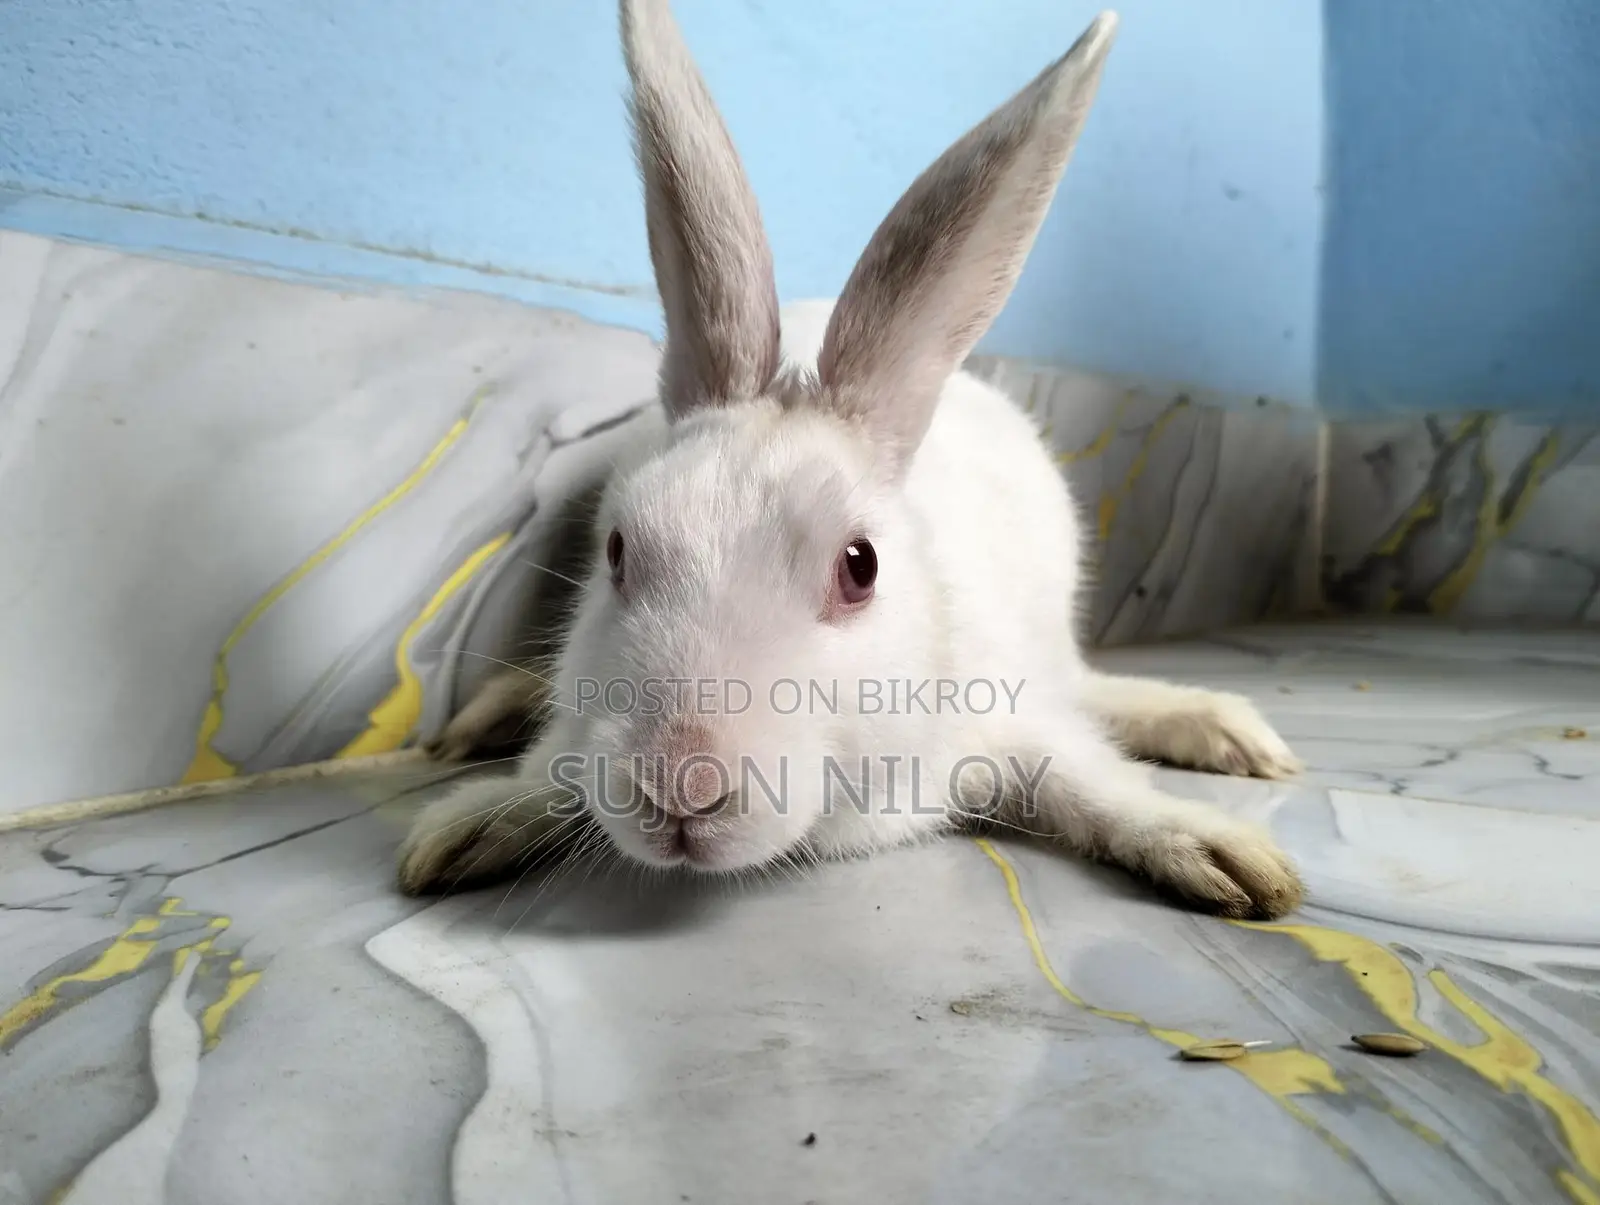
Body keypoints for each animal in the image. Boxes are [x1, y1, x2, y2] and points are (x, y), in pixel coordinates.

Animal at [398, 0, 1305, 920]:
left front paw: (1218, 854)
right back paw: (482, 719)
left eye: (859, 566)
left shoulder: (1017, 717)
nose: (682, 788)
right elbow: (553, 764)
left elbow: (1087, 782)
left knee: (1091, 691)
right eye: (617, 552)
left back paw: (1225, 730)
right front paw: (468, 824)